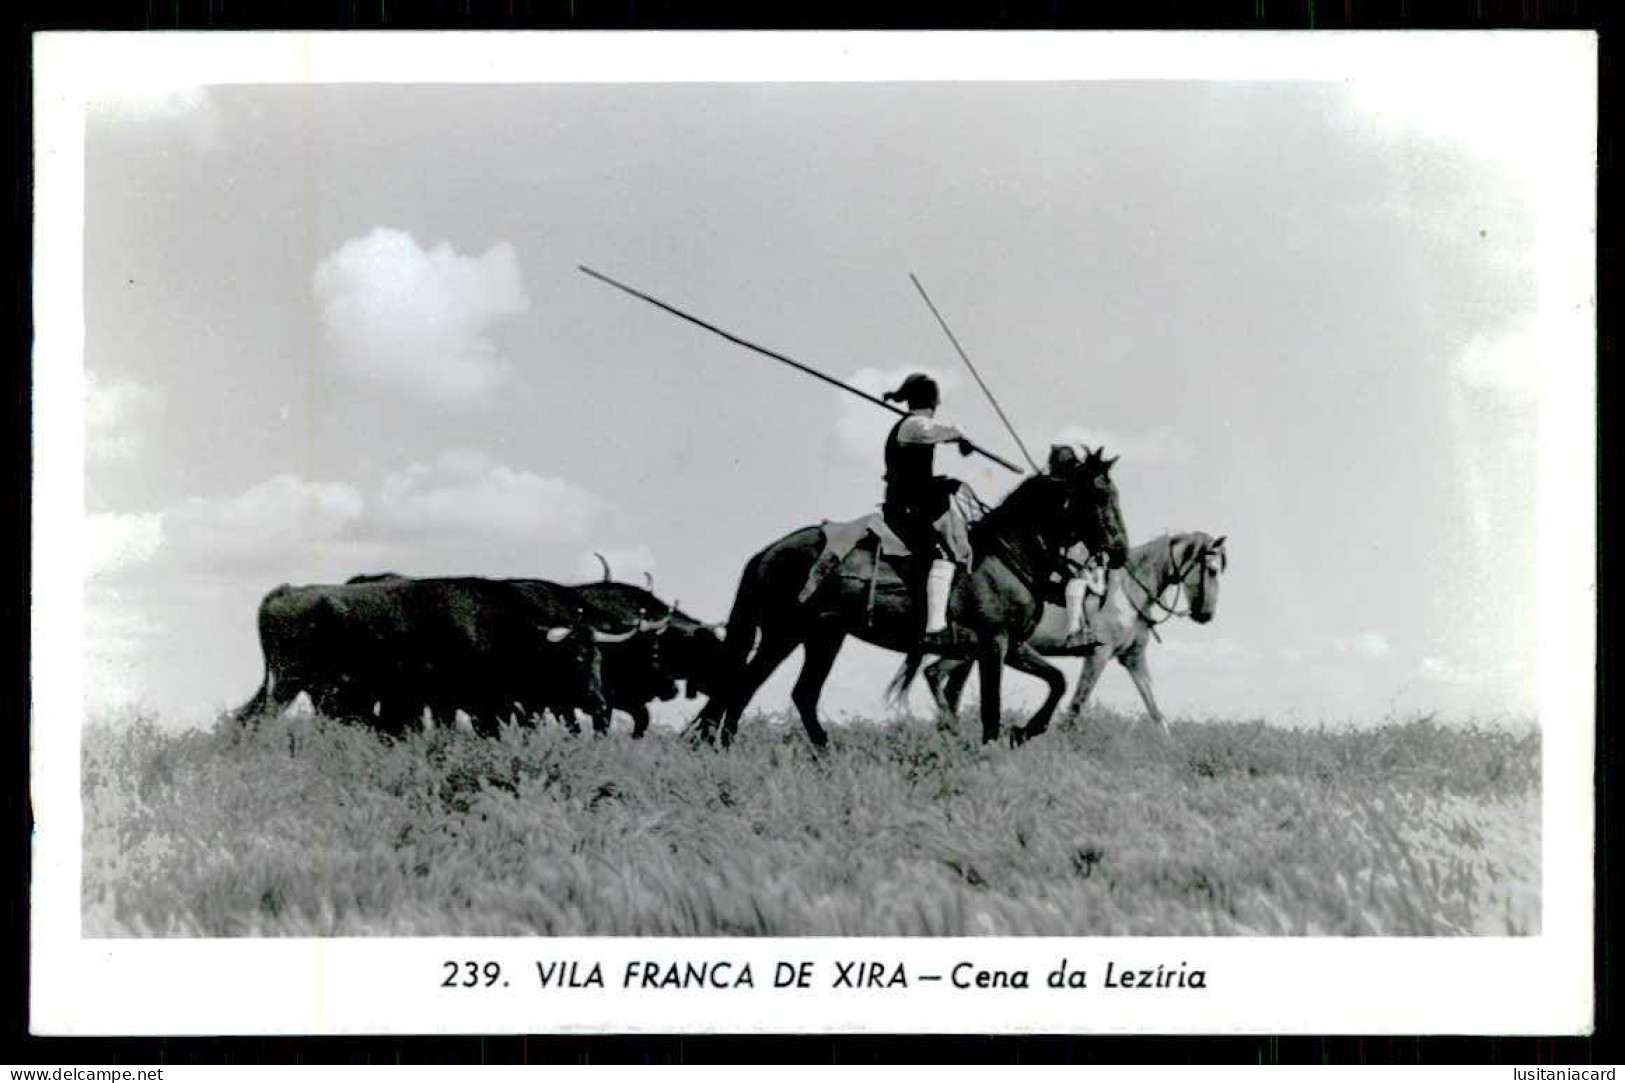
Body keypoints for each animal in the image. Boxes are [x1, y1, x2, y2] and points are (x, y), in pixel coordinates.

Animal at [903, 530, 1228, 735]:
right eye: (1211, 570)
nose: (1206, 615)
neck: (1127, 591)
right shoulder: (1098, 655)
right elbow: (1076, 706)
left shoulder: (1133, 658)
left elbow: (1155, 711)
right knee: (936, 677)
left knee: (944, 683)